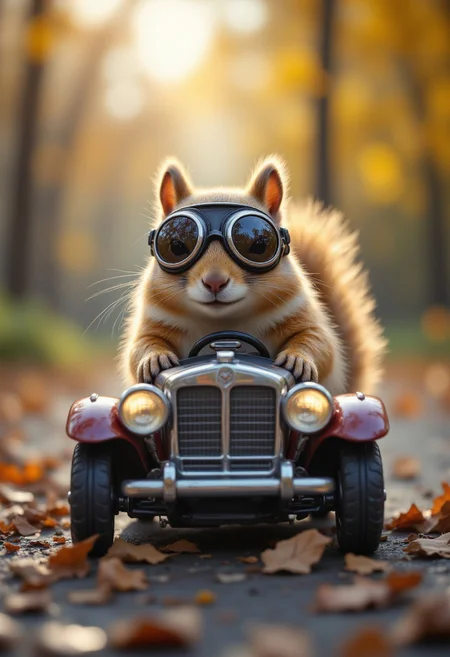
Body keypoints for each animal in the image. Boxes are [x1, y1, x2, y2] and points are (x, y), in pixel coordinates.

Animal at [121, 156, 386, 395]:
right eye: (175, 246)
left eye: (259, 245)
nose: (214, 282)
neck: (223, 324)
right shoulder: (155, 320)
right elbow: (140, 347)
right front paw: (153, 359)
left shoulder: (300, 314)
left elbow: (320, 343)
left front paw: (298, 359)